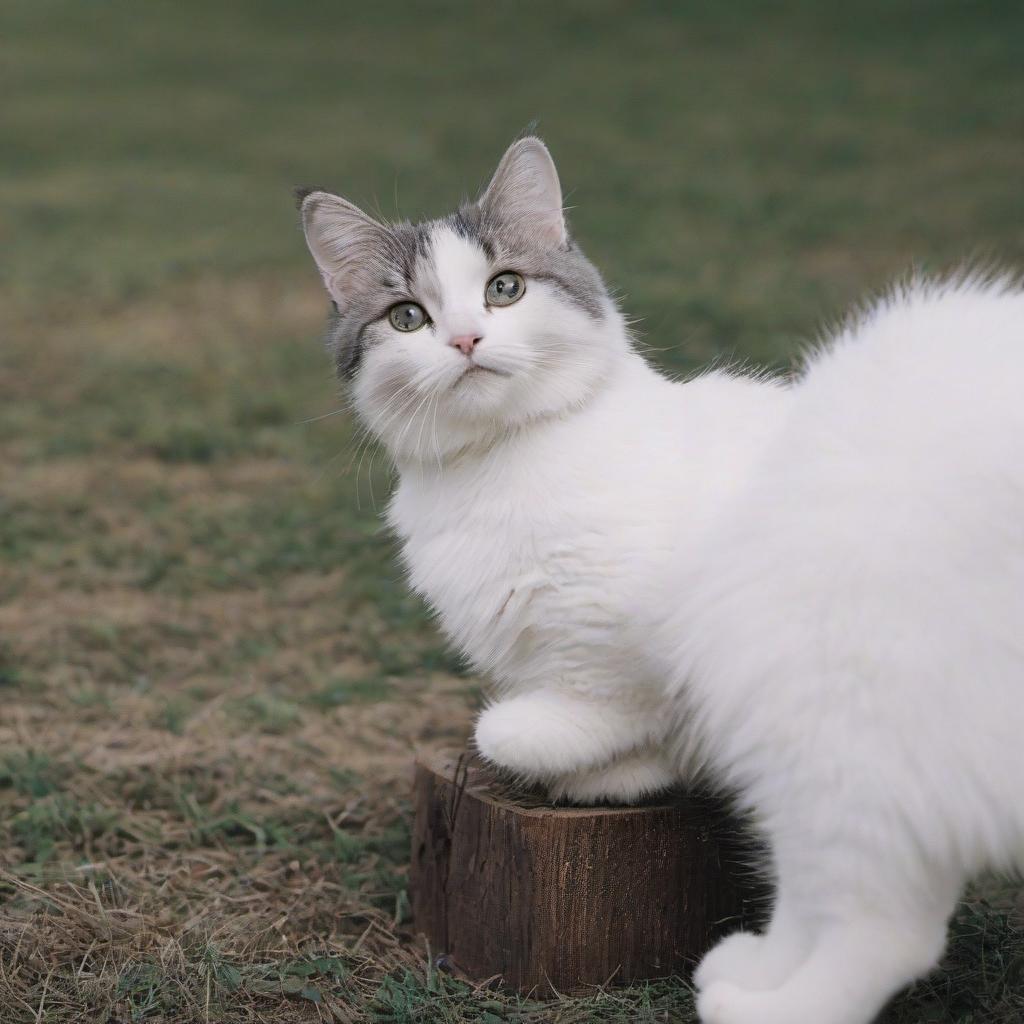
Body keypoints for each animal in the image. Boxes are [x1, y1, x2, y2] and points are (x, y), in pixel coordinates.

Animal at [299, 136, 1024, 1024]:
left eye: (504, 288)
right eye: (408, 317)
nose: (466, 339)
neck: (498, 465)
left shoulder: (630, 634)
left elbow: (542, 716)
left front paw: (585, 750)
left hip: (822, 709)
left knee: (884, 917)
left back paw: (766, 1005)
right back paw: (753, 966)